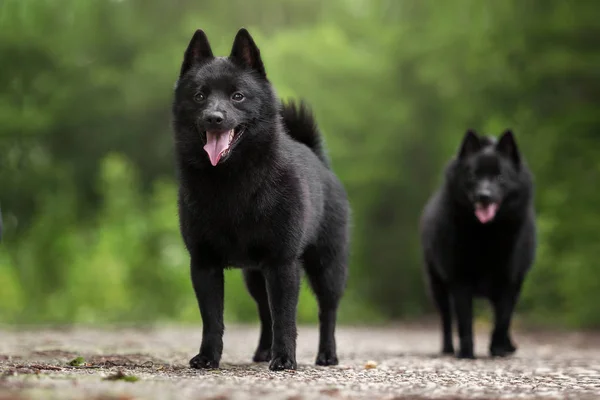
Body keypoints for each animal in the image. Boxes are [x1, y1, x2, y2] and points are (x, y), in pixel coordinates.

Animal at [171, 28, 350, 372]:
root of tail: (318, 159)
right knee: (265, 311)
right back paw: (263, 351)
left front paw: (285, 359)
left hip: (326, 267)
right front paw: (208, 357)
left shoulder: (282, 263)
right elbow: (212, 319)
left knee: (328, 312)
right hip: (255, 276)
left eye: (237, 96)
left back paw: (327, 354)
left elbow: (285, 318)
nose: (214, 117)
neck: (231, 182)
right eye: (199, 96)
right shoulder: (204, 265)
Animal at [420, 129, 536, 360]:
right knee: (447, 319)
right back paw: (448, 348)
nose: (484, 196)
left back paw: (507, 346)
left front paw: (498, 349)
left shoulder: (510, 282)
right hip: (437, 285)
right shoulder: (460, 281)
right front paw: (466, 352)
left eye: (500, 177)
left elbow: (503, 319)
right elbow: (465, 321)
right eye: (472, 176)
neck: (485, 235)